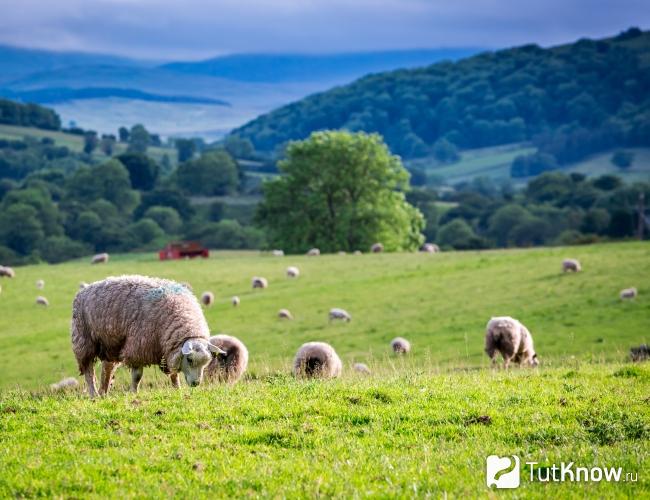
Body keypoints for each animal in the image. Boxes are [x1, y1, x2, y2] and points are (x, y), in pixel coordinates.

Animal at [71, 275, 225, 398]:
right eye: (190, 359)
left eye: (206, 362)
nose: (195, 384)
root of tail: (84, 290)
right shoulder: (138, 347)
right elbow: (137, 376)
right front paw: (134, 392)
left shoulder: (166, 350)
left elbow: (173, 374)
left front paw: (177, 389)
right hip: (84, 341)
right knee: (89, 371)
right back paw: (94, 394)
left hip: (111, 345)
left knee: (107, 369)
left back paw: (104, 392)